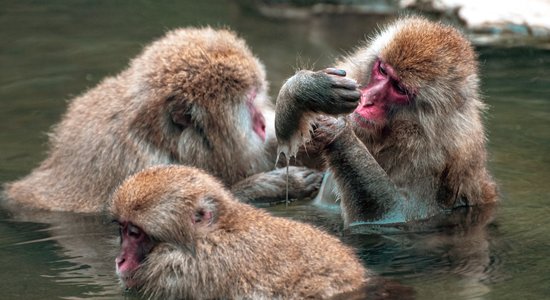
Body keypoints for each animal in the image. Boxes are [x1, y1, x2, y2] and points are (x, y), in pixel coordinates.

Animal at [4, 26, 322, 213]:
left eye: (258, 96)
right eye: (250, 105)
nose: (263, 122)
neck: (160, 140)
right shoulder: (137, 167)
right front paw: (271, 185)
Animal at [278, 17, 498, 227]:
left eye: (399, 88)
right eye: (383, 70)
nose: (366, 100)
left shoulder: (435, 159)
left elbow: (396, 214)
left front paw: (339, 132)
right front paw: (306, 89)